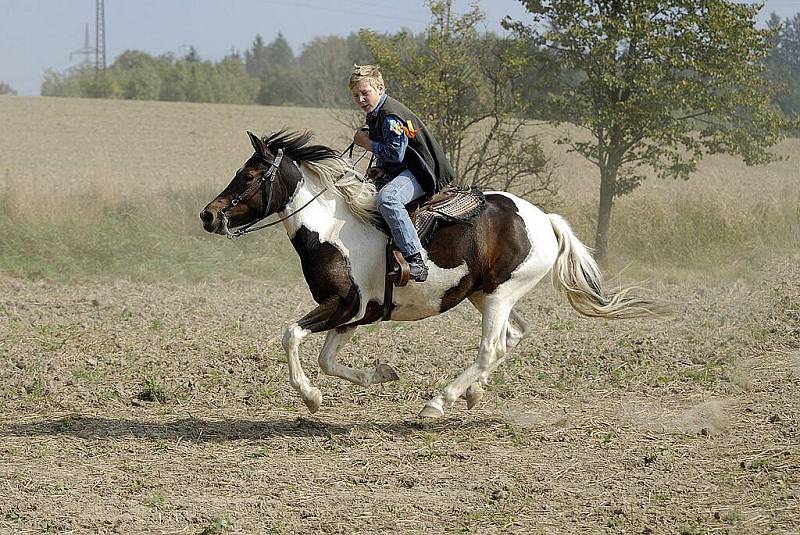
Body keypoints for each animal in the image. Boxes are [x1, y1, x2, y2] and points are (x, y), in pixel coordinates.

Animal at [200, 130, 656, 418]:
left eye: (249, 175)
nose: (208, 215)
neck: (331, 227)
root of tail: (545, 219)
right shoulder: (354, 314)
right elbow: (328, 360)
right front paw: (380, 374)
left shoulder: (342, 305)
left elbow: (291, 335)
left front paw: (311, 398)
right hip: (483, 294)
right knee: (513, 336)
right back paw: (471, 393)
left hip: (500, 294)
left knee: (490, 347)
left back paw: (438, 402)